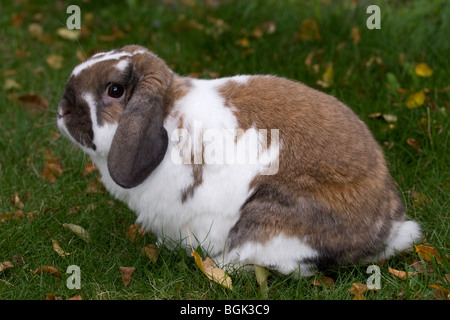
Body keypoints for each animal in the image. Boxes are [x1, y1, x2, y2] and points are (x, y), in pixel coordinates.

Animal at [57, 44, 422, 276]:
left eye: (115, 90)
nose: (62, 110)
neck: (167, 115)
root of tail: (385, 229)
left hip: (269, 222)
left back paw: (221, 266)